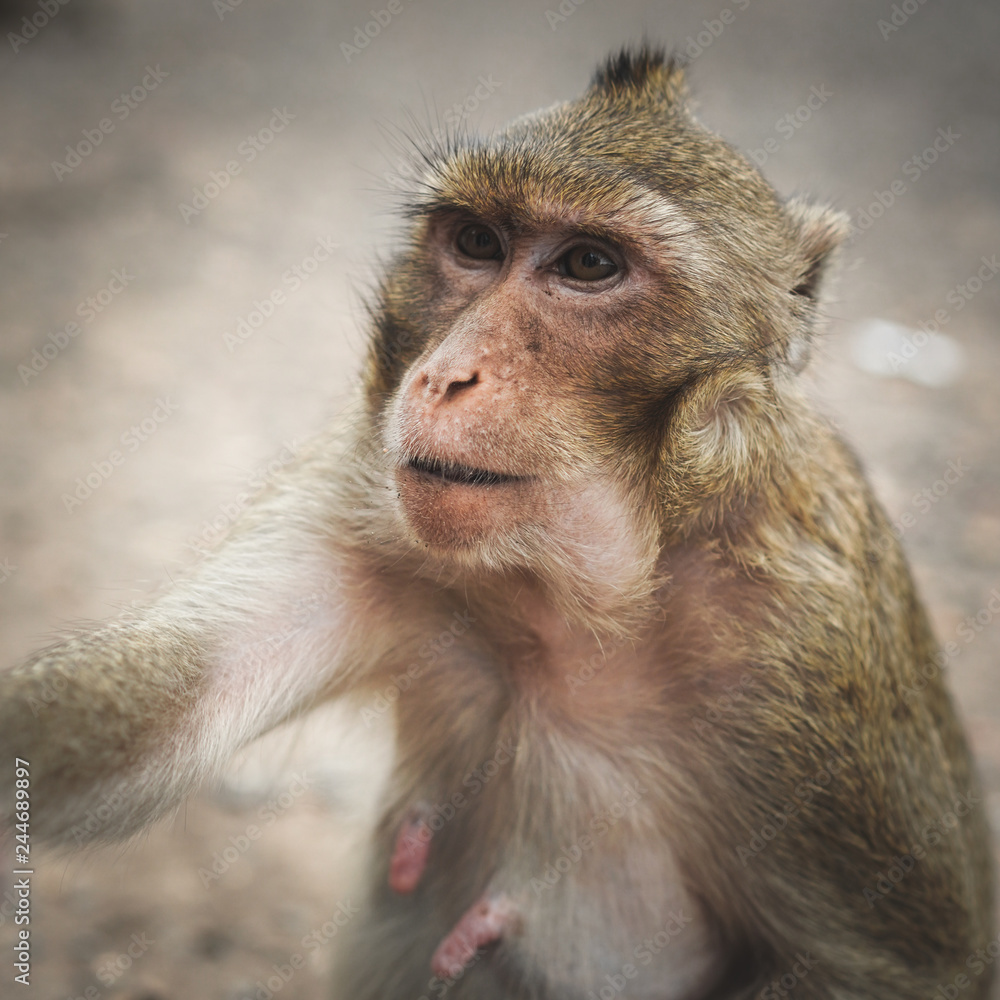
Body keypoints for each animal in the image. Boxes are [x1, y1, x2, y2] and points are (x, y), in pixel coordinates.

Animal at [0, 46, 993, 1000]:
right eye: (477, 242)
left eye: (588, 264)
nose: (446, 376)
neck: (586, 600)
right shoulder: (360, 494)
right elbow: (140, 728)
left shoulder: (810, 650)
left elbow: (904, 969)